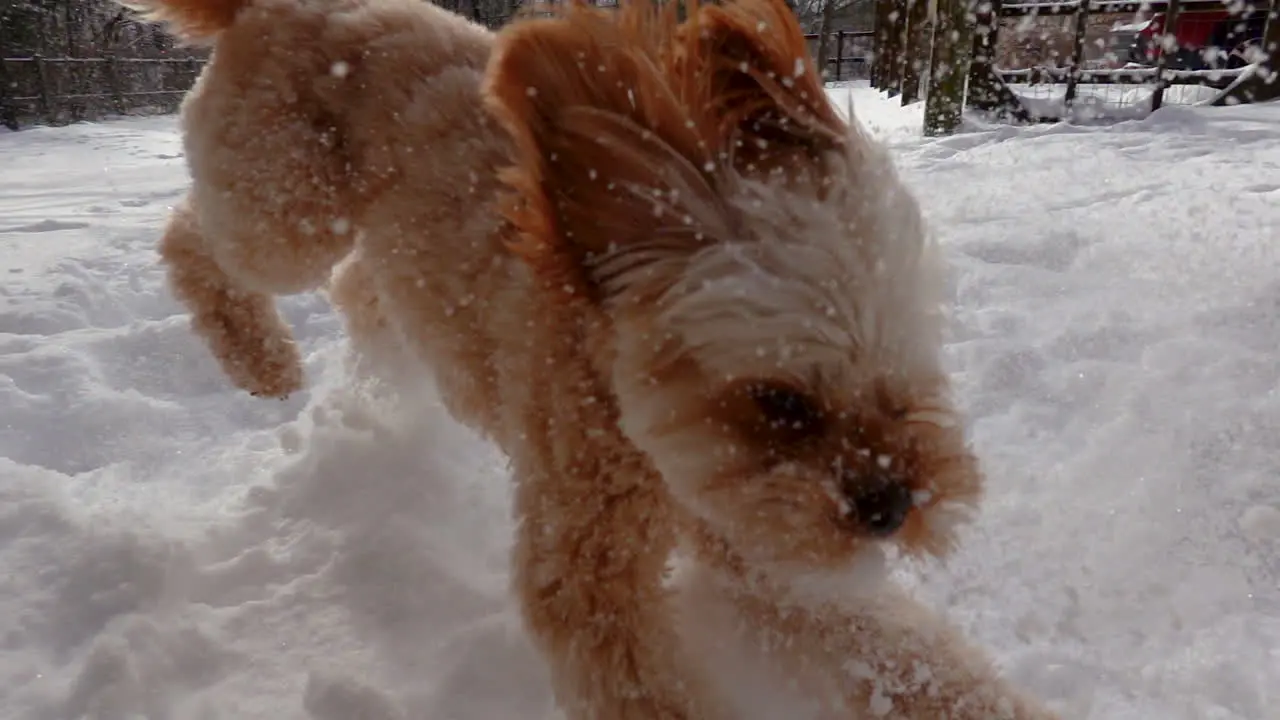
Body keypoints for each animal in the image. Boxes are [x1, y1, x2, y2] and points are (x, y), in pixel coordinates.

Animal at [132, 0, 1059, 712]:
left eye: (903, 382)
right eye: (779, 400)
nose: (893, 506)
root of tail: (273, 6)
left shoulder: (764, 550)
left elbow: (909, 657)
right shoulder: (593, 564)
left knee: (363, 285)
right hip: (286, 205)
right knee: (194, 238)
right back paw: (258, 358)